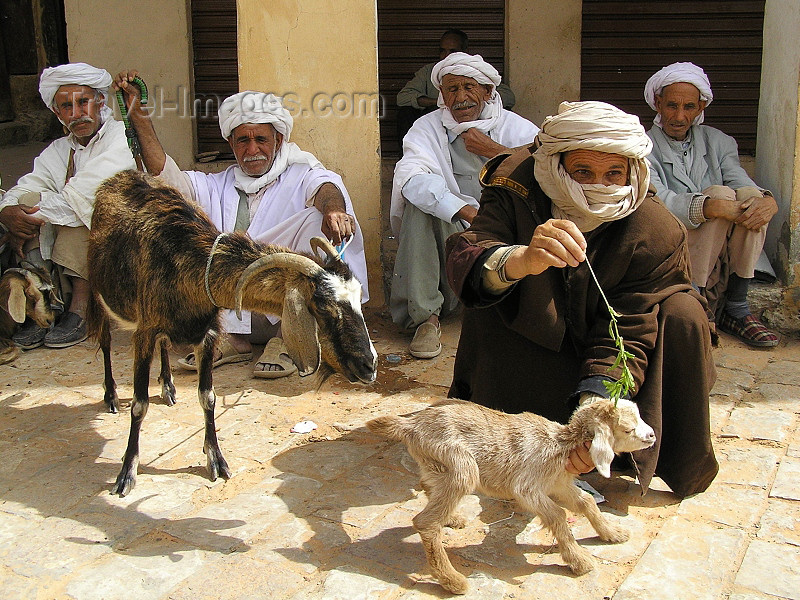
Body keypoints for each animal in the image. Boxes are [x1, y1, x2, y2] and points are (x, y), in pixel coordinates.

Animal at [89, 170, 376, 496]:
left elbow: (208, 397)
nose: (369, 365)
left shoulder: (207, 333)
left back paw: (168, 386)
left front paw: (216, 460)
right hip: (97, 290)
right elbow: (139, 405)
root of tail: (122, 175)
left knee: (165, 344)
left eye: (358, 300)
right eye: (324, 308)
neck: (183, 259)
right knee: (105, 340)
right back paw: (111, 395)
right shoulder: (145, 331)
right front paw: (126, 473)